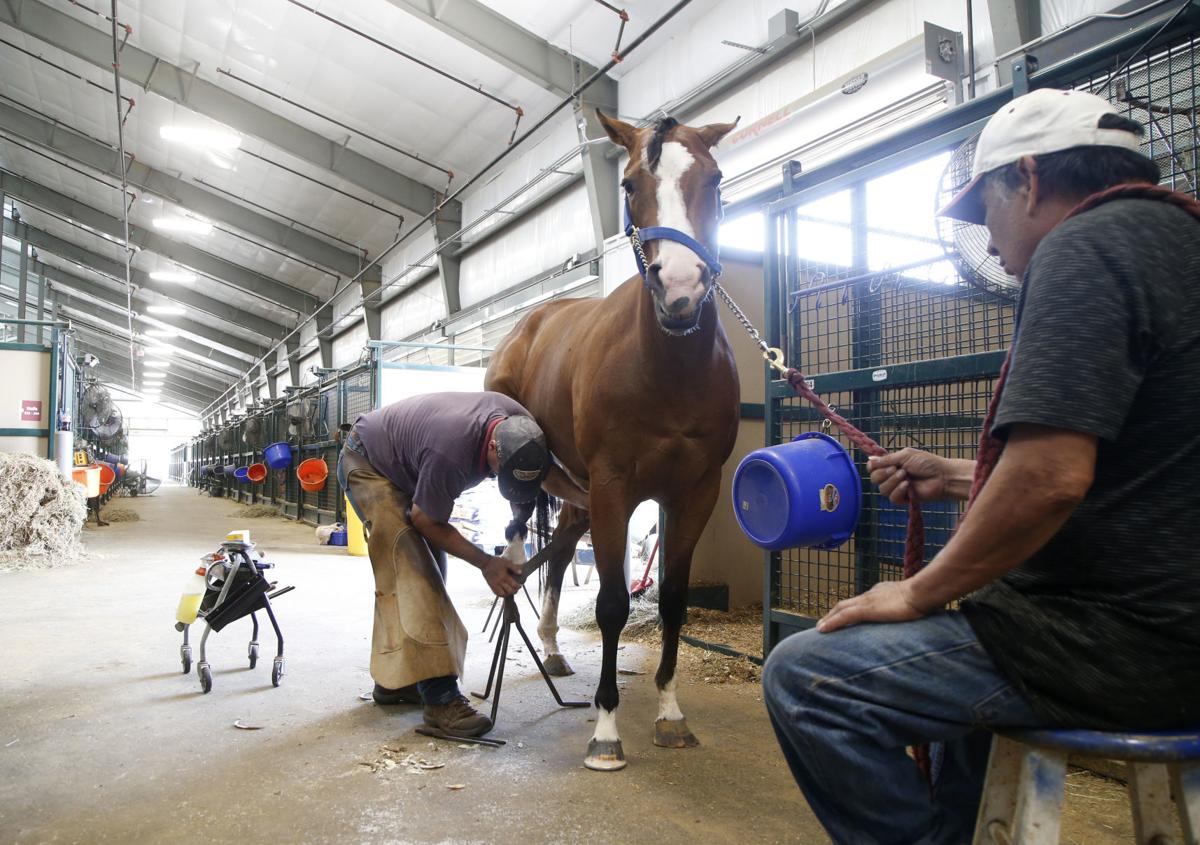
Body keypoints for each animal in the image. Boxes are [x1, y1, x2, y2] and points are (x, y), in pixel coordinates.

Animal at [487, 112, 739, 772]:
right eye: (628, 185)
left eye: (714, 178)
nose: (680, 288)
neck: (666, 367)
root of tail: (526, 326)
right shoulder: (613, 489)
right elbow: (611, 605)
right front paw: (605, 730)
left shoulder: (694, 493)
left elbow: (672, 599)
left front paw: (670, 714)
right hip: (528, 478)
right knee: (517, 542)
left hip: (577, 495)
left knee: (555, 556)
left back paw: (551, 649)